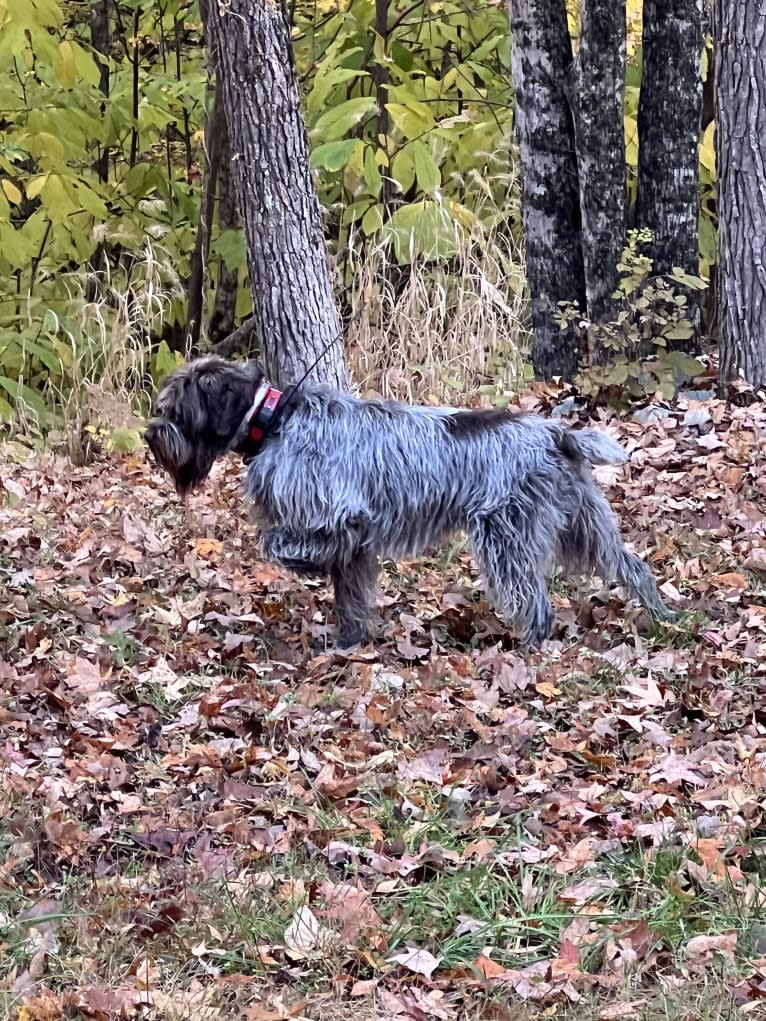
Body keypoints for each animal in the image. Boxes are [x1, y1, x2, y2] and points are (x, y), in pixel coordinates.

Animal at [144, 357, 669, 645]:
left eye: (177, 409)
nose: (150, 434)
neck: (275, 420)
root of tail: (557, 434)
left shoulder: (338, 519)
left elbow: (276, 543)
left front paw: (304, 566)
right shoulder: (355, 548)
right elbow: (350, 598)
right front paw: (347, 644)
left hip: (505, 538)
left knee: (535, 599)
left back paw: (528, 646)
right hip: (585, 527)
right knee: (632, 567)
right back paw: (663, 615)